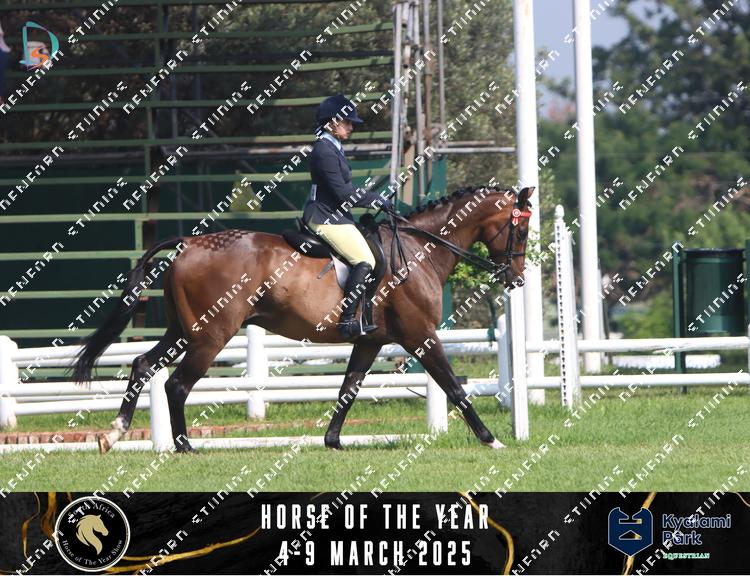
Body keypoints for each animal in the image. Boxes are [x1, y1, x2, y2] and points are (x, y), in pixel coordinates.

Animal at [71, 184, 534, 454]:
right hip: (211, 335)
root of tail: (188, 243)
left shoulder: (370, 341)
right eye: (522, 230)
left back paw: (114, 434)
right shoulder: (421, 335)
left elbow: (349, 389)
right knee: (177, 384)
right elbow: (454, 387)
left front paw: (332, 441)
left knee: (142, 365)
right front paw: (491, 440)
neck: (420, 250)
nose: (516, 278)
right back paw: (184, 448)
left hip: (183, 331)